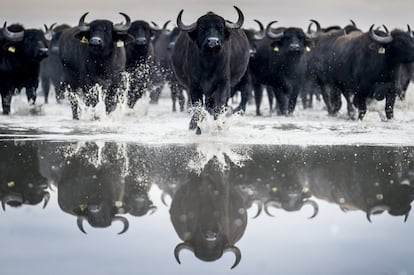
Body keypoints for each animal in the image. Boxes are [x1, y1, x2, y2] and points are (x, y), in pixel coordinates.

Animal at [171, 6, 249, 135]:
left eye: (220, 28)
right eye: (202, 28)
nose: (213, 42)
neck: (209, 64)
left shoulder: (223, 83)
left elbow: (219, 105)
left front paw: (218, 127)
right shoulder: (194, 86)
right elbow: (198, 107)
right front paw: (198, 129)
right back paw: (192, 125)